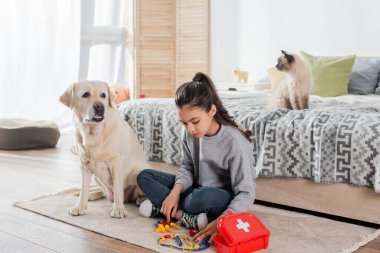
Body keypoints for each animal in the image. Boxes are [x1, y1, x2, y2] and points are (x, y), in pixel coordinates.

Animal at [60, 80, 148, 217]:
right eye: (86, 94)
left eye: (103, 95)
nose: (99, 106)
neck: (94, 133)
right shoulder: (84, 165)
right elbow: (83, 189)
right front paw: (80, 207)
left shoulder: (116, 163)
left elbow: (118, 190)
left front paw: (118, 210)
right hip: (97, 178)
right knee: (102, 192)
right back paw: (92, 195)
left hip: (140, 171)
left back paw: (140, 200)